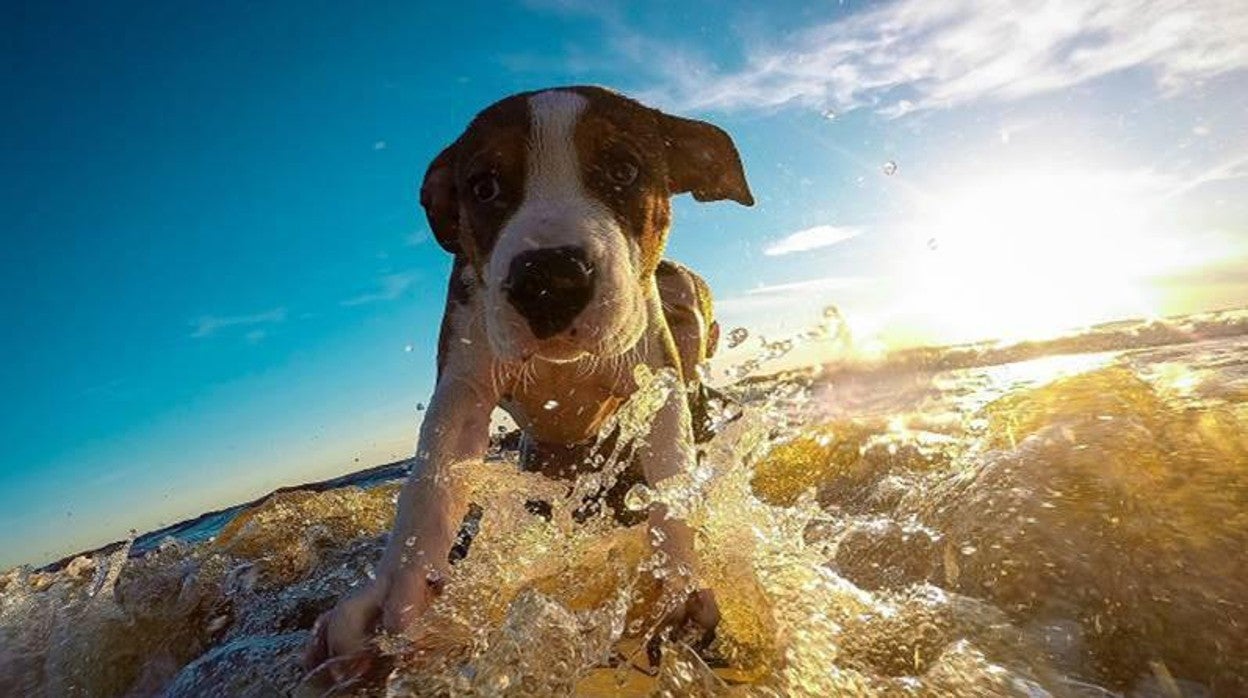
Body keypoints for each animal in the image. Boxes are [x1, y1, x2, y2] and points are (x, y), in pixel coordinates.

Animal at [304, 84, 748, 679]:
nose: (550, 277)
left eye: (624, 170)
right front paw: (399, 595)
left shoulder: (656, 376)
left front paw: (677, 580)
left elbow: (671, 473)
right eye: (484, 186)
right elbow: (430, 483)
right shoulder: (463, 382)